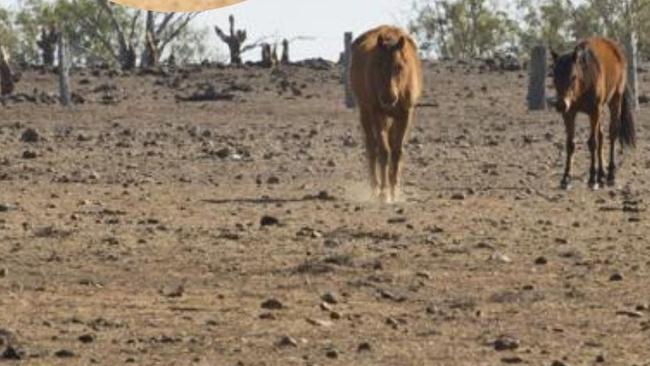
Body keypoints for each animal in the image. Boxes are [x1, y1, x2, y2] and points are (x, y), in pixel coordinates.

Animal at [346, 25, 422, 203]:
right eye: (378, 65)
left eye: (399, 66)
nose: (389, 97)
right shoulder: (377, 113)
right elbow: (384, 151)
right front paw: (384, 192)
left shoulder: (405, 114)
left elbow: (397, 151)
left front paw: (394, 190)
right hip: (366, 113)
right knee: (371, 148)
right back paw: (375, 188)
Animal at [548, 36, 636, 190]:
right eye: (554, 77)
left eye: (573, 76)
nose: (560, 105)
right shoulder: (569, 113)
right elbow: (570, 143)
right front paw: (566, 178)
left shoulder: (594, 111)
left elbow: (592, 143)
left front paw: (591, 178)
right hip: (599, 112)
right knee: (601, 136)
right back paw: (601, 174)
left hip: (614, 101)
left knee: (612, 133)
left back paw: (610, 175)